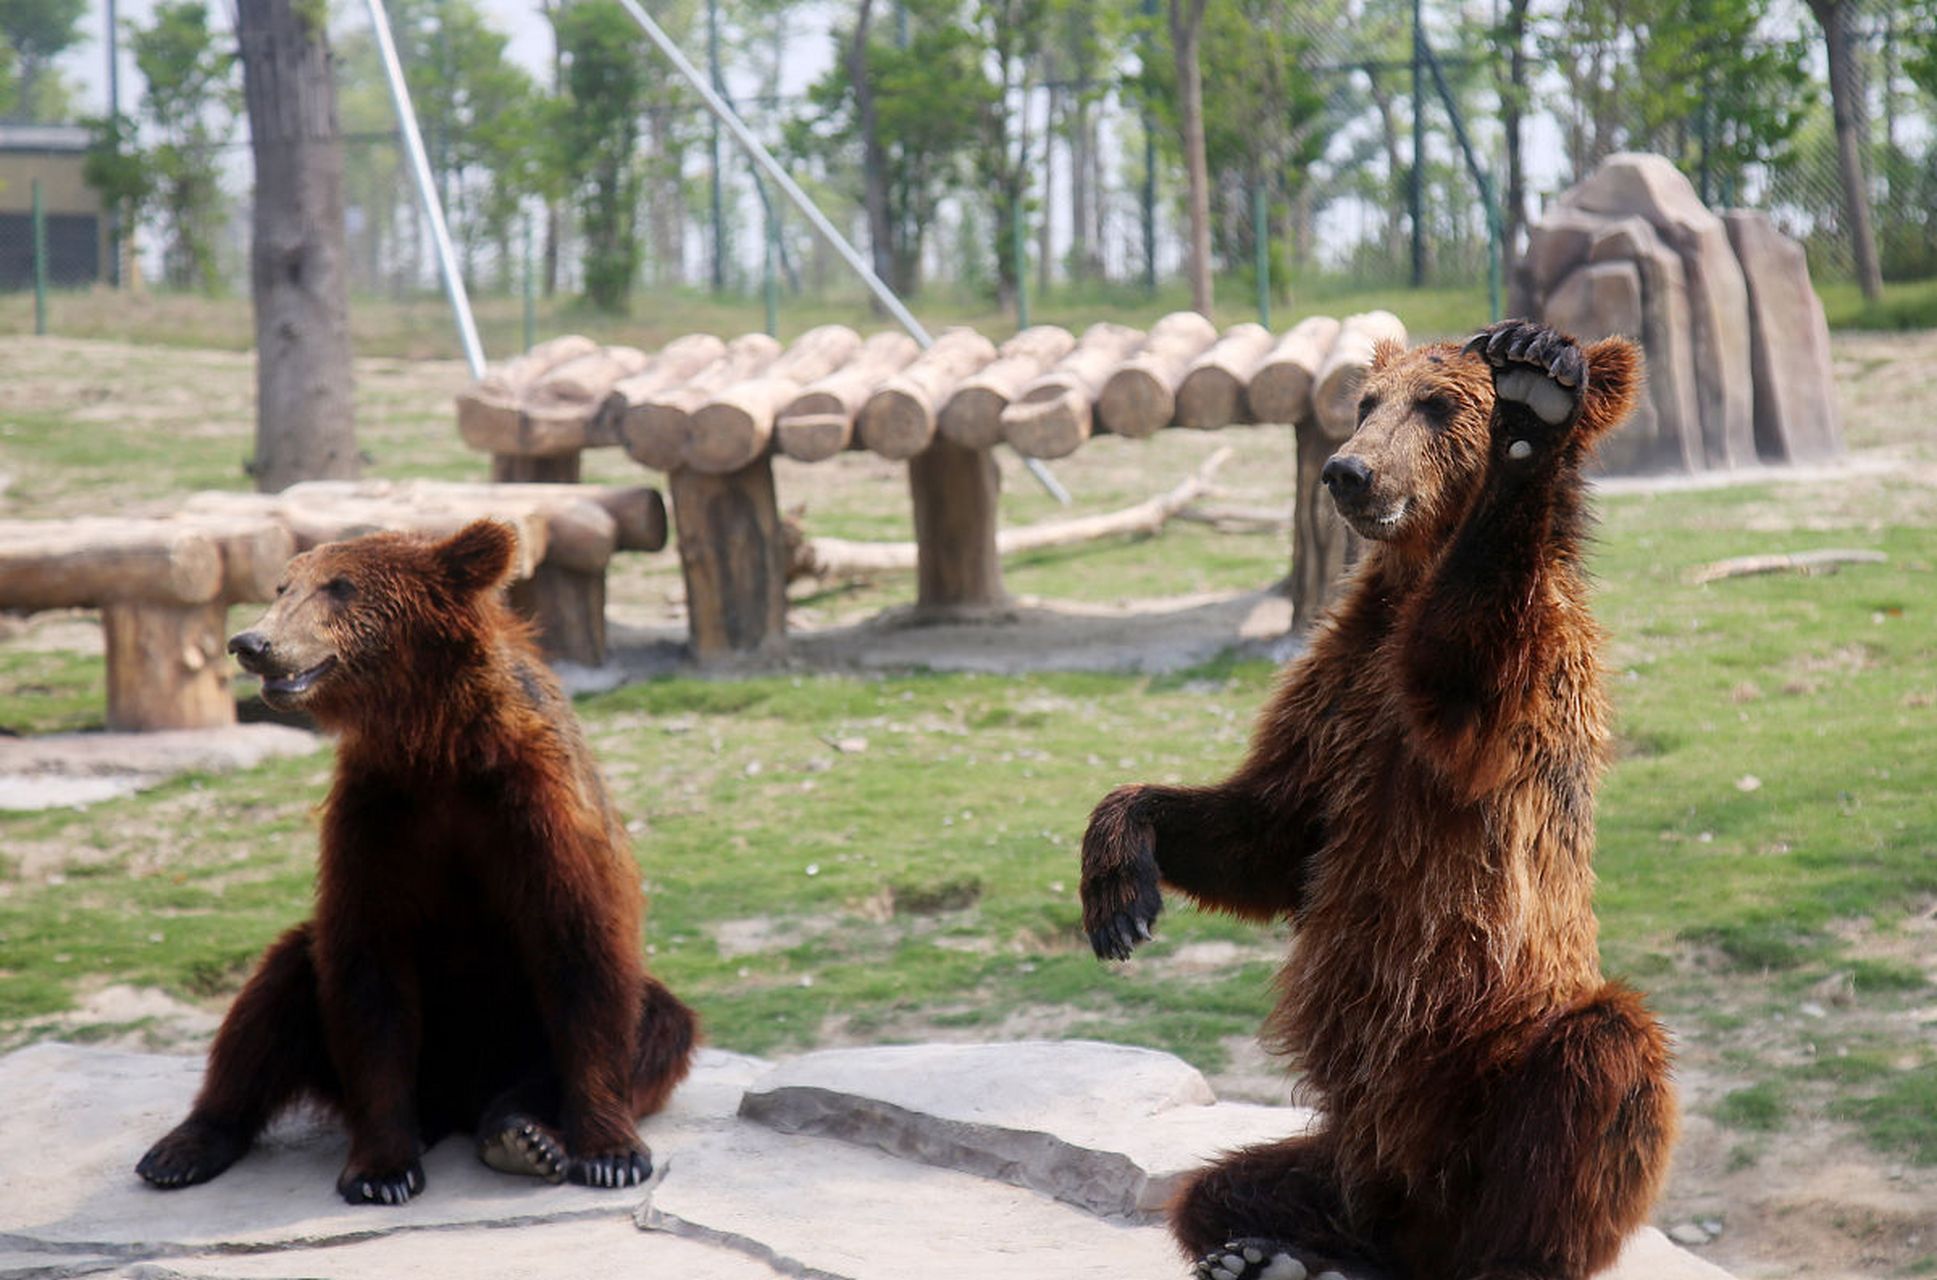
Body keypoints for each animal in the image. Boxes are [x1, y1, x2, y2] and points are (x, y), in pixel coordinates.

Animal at [136, 515, 701, 1200]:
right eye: (283, 586)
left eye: (340, 587)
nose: (253, 642)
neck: (436, 740)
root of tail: (456, 1103)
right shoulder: (379, 815)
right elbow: (367, 967)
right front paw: (382, 1170)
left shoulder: (534, 809)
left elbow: (583, 955)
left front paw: (610, 1154)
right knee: (275, 990)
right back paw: (187, 1147)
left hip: (523, 1033)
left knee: (661, 1024)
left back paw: (521, 1133)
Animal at [1084, 321, 1673, 1278]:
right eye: (1365, 401)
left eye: (1436, 404)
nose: (1346, 471)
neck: (1411, 578)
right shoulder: (1333, 693)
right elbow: (1265, 835)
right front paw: (1118, 888)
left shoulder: (1527, 684)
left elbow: (1466, 664)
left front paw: (1533, 404)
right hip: (1348, 1158)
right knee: (1213, 1190)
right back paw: (1275, 1251)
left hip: (1489, 1067)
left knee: (1601, 1063)